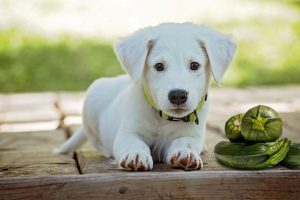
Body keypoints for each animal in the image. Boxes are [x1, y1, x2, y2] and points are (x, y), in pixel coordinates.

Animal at [58, 23, 237, 170]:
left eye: (194, 65)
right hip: (93, 99)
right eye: (159, 66)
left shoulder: (190, 135)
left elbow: (184, 142)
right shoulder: (128, 133)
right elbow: (134, 143)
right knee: (96, 140)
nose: (178, 95)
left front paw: (185, 153)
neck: (163, 118)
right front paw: (136, 155)